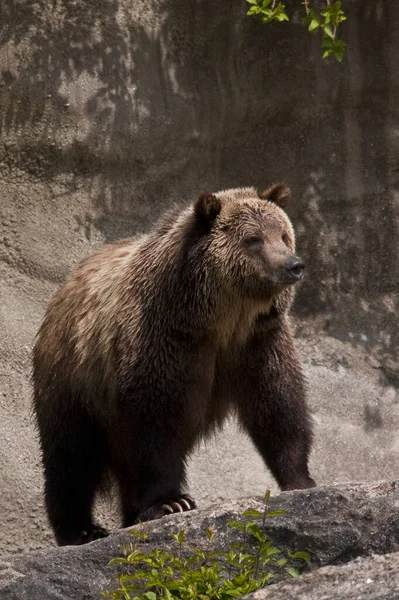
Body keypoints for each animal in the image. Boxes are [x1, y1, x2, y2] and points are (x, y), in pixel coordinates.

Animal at [32, 183, 316, 544]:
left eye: (283, 234)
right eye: (254, 239)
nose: (294, 265)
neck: (222, 318)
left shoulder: (259, 342)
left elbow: (279, 405)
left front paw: (301, 480)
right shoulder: (167, 340)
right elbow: (158, 422)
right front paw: (170, 502)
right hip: (72, 376)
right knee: (72, 454)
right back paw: (81, 528)